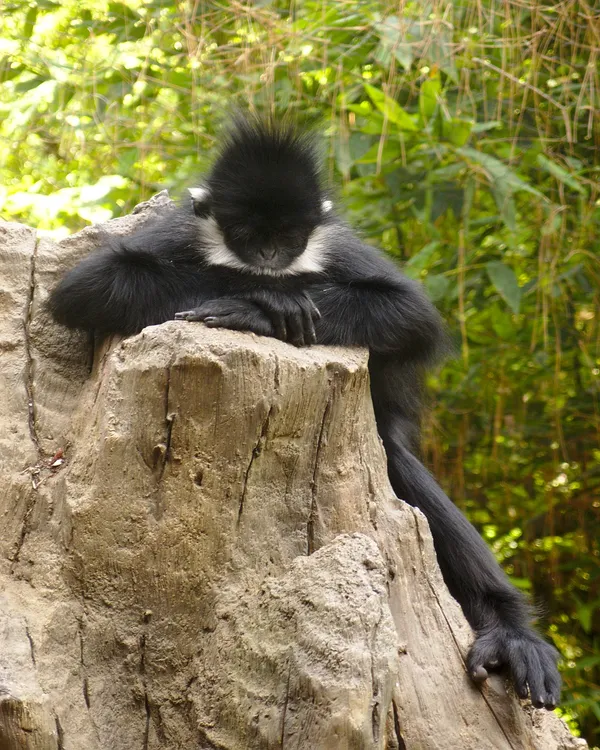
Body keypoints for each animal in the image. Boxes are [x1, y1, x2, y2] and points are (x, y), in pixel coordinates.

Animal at [48, 117, 561, 709]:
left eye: (290, 237)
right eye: (248, 234)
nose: (270, 259)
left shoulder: (336, 244)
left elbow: (412, 313)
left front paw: (261, 303)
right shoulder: (178, 232)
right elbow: (85, 289)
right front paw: (264, 297)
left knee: (402, 467)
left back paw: (511, 634)